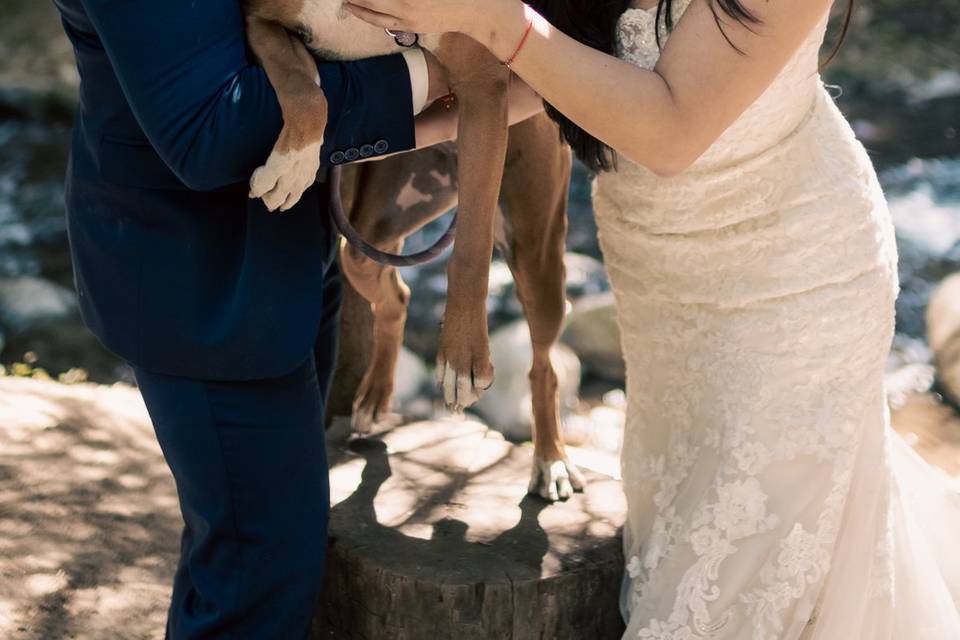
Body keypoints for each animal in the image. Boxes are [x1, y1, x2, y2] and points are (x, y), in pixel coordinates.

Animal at [244, 0, 580, 500]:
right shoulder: (259, 22)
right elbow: (303, 86)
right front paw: (292, 165)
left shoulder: (484, 89)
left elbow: (471, 250)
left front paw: (461, 355)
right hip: (367, 236)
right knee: (396, 298)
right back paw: (375, 396)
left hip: (537, 254)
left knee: (545, 367)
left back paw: (550, 460)